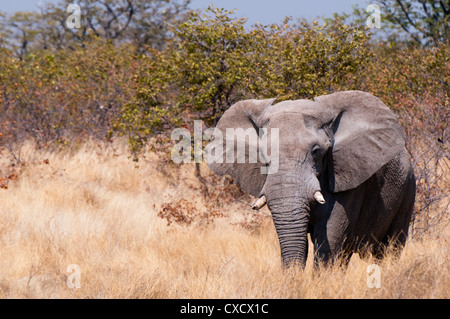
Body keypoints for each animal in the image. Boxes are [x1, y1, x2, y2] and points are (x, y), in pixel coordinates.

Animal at [206, 90, 416, 270]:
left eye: (316, 151)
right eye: (263, 155)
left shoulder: (346, 177)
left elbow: (328, 237)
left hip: (408, 190)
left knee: (390, 247)